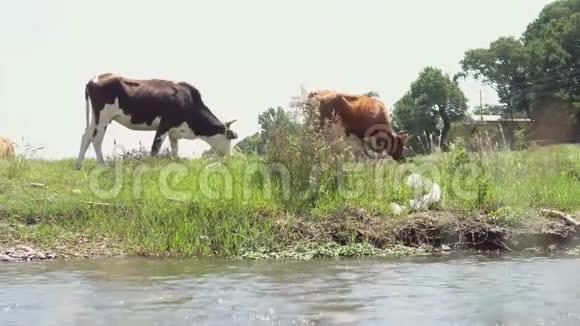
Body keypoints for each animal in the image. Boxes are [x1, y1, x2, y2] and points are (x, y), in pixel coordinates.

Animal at [76, 74, 238, 169]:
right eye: (230, 138)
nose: (230, 158)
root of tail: (96, 78)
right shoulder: (164, 124)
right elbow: (155, 148)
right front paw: (151, 166)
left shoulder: (174, 131)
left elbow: (174, 150)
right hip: (103, 117)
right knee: (97, 139)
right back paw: (102, 165)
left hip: (95, 118)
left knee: (86, 136)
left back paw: (79, 165)